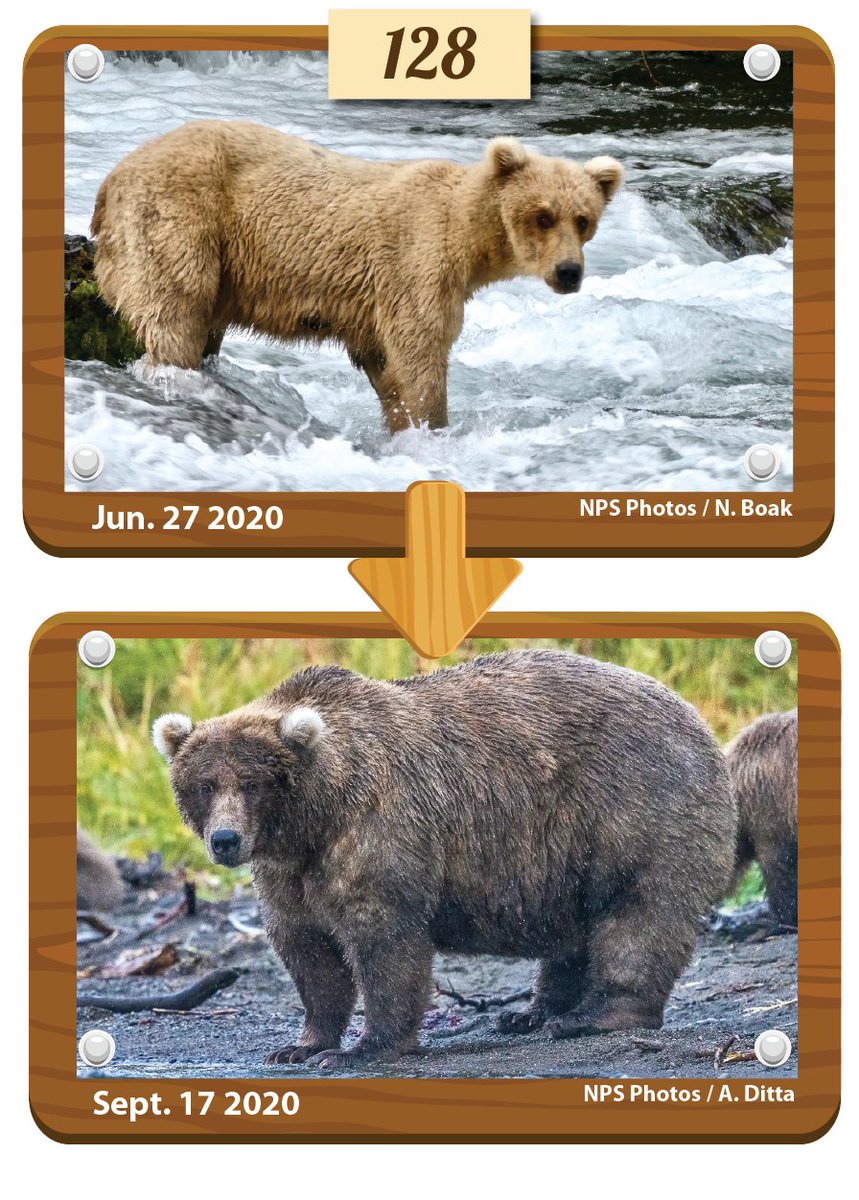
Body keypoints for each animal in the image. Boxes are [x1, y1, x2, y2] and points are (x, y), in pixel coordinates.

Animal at [92, 122, 623, 433]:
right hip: (184, 220)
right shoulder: (418, 262)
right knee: (175, 310)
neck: (469, 240)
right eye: (543, 215)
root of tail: (112, 179)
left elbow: (385, 366)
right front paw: (435, 426)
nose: (569, 271)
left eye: (583, 219)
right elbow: (420, 350)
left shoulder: (374, 304)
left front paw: (402, 425)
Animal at [153, 650, 734, 1069]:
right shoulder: (287, 872)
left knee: (637, 913)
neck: (314, 819)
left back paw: (594, 1014)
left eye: (253, 783)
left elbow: (384, 941)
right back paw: (533, 1013)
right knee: (578, 928)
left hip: (633, 807)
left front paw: (364, 1047)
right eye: (204, 785)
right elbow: (308, 948)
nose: (225, 839)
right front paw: (301, 1044)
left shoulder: (379, 828)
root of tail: (698, 719)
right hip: (568, 854)